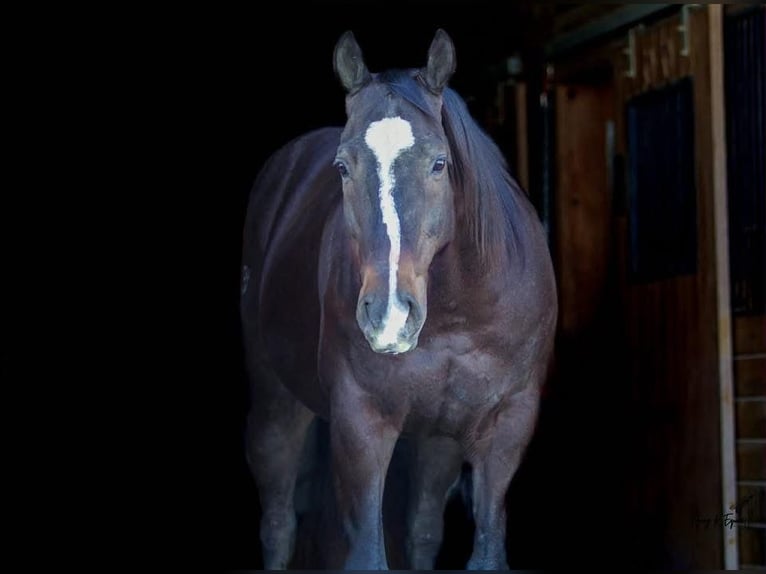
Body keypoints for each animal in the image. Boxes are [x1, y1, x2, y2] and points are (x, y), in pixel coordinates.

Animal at [240, 29, 557, 570]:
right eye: (343, 167)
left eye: (439, 163)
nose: (390, 317)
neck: (458, 314)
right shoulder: (362, 423)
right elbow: (368, 553)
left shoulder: (505, 427)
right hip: (276, 402)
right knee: (278, 524)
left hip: (435, 442)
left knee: (423, 531)